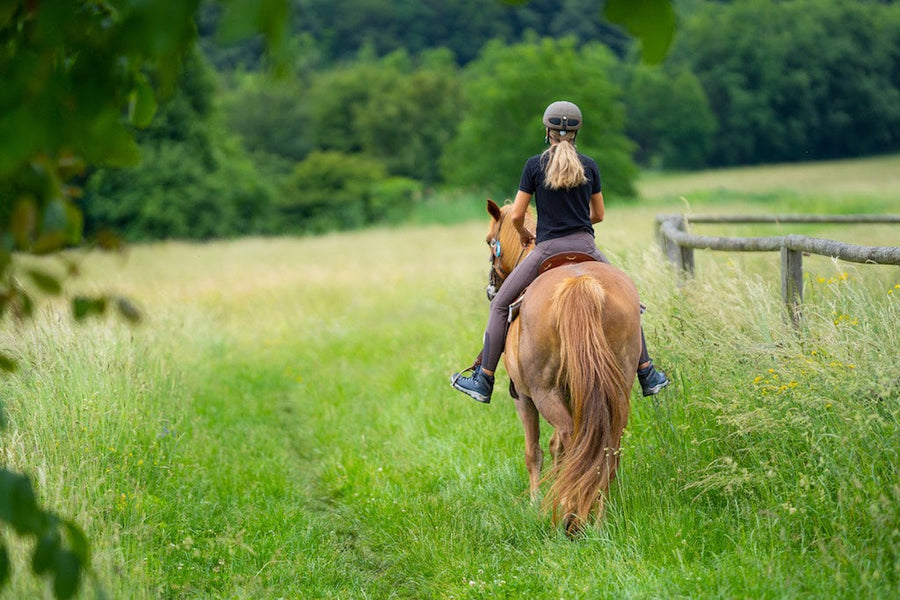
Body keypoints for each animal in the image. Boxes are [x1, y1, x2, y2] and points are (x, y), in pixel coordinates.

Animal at [484, 199, 643, 533]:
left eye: (490, 240)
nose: (491, 289)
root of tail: (579, 283)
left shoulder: (523, 397)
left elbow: (535, 451)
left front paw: (535, 503)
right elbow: (558, 446)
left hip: (544, 393)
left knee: (571, 440)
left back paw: (570, 515)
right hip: (616, 387)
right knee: (604, 443)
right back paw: (596, 512)